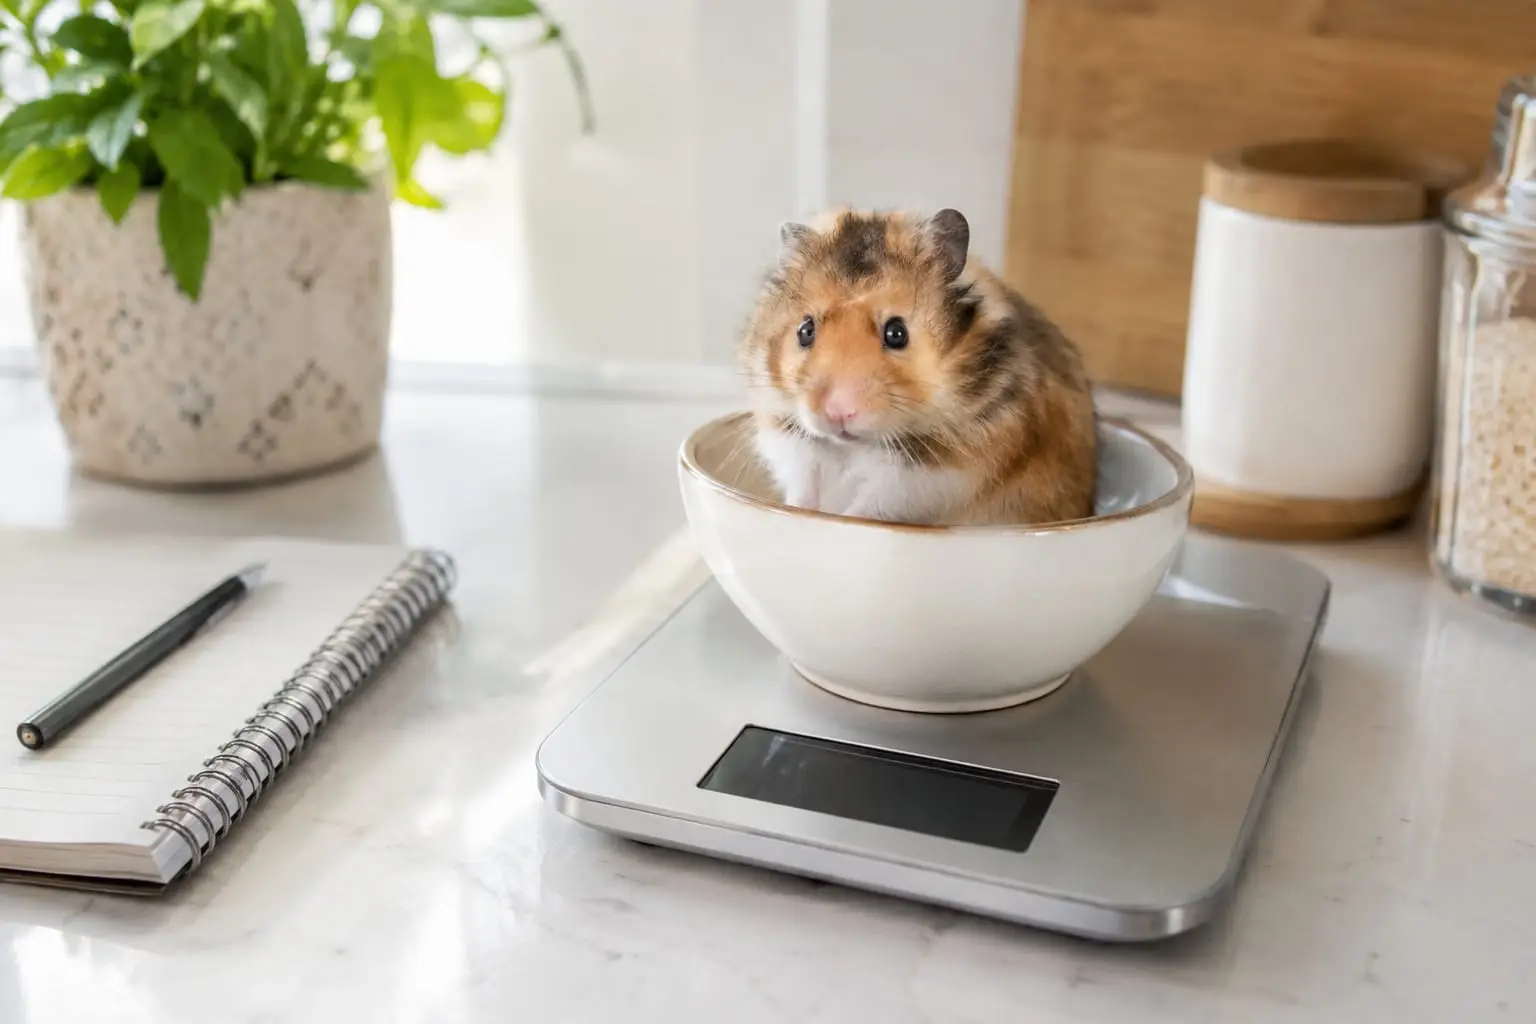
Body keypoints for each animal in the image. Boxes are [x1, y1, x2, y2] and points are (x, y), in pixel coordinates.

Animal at [737, 205, 1097, 527]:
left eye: (897, 333)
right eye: (805, 331)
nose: (837, 412)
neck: (855, 445)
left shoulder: (930, 476)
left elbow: (871, 506)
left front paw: (840, 520)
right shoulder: (792, 446)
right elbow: (803, 490)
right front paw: (797, 514)